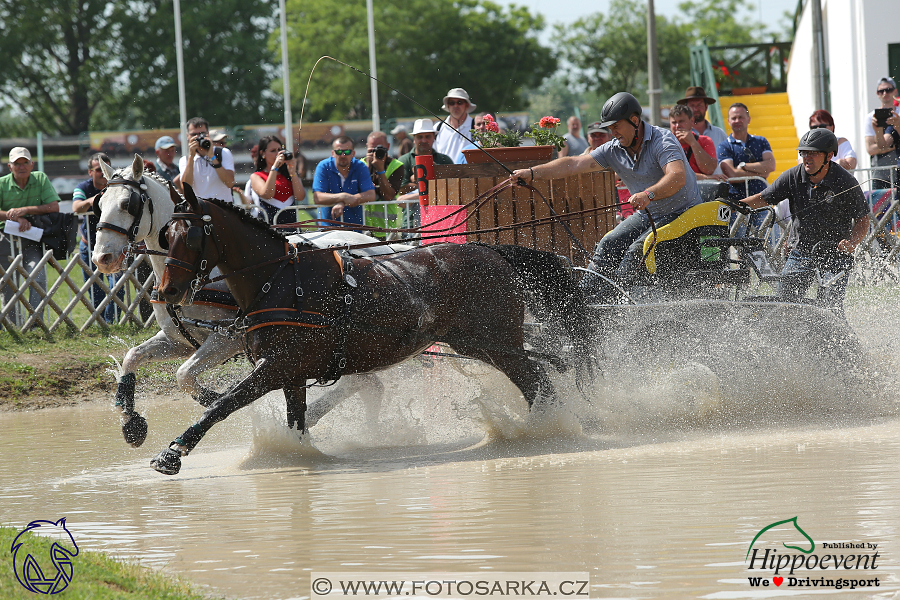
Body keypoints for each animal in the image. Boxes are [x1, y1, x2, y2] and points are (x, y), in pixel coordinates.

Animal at [92, 157, 386, 448]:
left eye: (128, 204)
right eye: (100, 203)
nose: (102, 258)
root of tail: (377, 243)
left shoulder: (226, 339)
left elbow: (184, 375)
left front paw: (216, 400)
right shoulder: (178, 340)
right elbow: (133, 357)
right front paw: (131, 424)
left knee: (363, 383)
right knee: (368, 383)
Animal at [153, 191, 592, 474]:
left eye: (191, 235)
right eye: (166, 234)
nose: (166, 291)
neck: (281, 281)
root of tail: (492, 250)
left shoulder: (278, 366)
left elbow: (223, 404)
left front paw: (173, 452)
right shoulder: (291, 374)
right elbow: (295, 419)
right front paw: (297, 455)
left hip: (497, 344)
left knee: (538, 381)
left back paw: (543, 432)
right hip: (482, 344)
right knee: (541, 377)